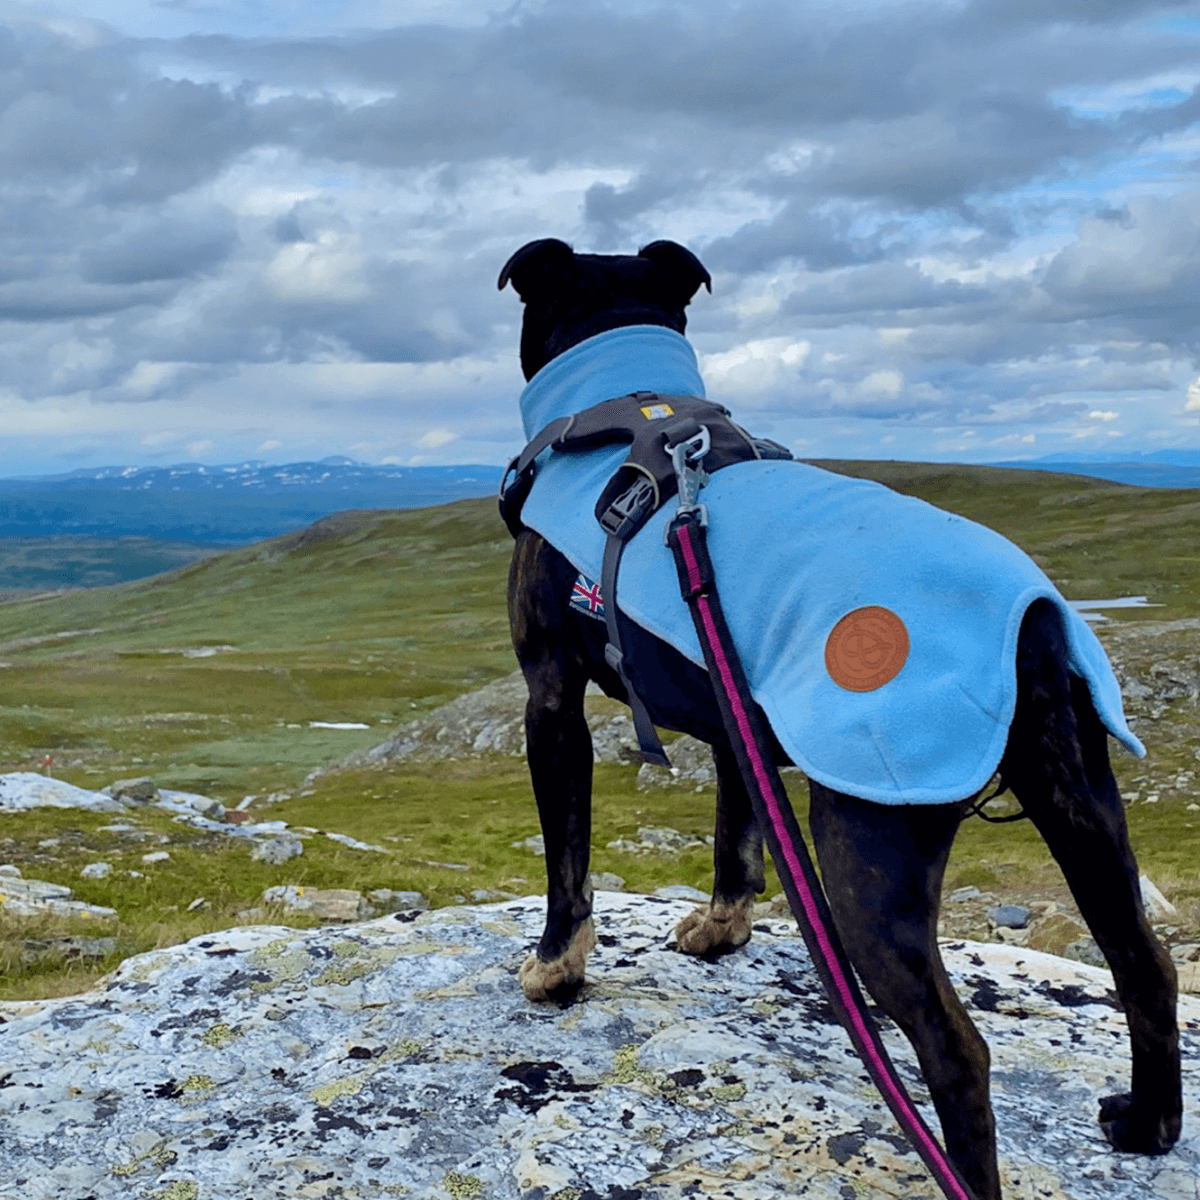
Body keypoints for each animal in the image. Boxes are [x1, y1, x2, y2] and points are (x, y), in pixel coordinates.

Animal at [499, 236, 1180, 1200]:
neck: (632, 405)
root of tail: (1027, 626)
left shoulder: (551, 701)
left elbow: (568, 860)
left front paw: (557, 967)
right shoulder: (731, 709)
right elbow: (737, 832)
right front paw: (722, 929)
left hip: (866, 851)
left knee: (958, 1052)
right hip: (1083, 805)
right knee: (1143, 965)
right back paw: (1151, 1123)